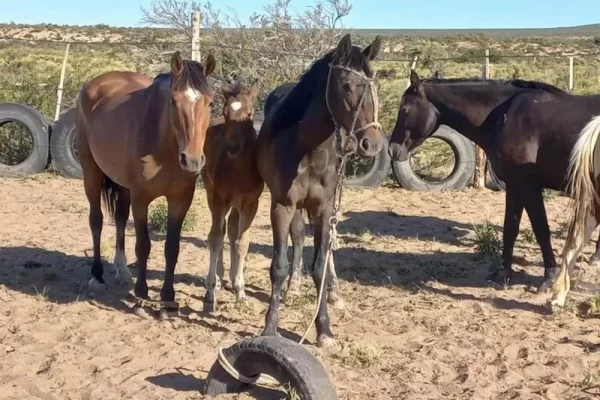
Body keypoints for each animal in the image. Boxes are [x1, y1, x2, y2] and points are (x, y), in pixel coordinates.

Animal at [74, 51, 216, 318]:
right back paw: (97, 276)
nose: (192, 160)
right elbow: (143, 246)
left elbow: (172, 248)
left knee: (119, 219)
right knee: (96, 220)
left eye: (210, 103)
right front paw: (141, 297)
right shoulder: (141, 199)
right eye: (173, 101)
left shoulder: (181, 200)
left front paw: (168, 301)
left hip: (123, 186)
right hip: (91, 172)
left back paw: (122, 270)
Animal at [200, 79, 264, 312]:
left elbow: (241, 242)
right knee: (219, 231)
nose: (233, 147)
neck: (238, 169)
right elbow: (215, 239)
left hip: (237, 205)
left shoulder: (251, 203)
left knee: (232, 229)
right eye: (226, 113)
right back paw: (219, 279)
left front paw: (241, 290)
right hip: (211, 192)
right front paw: (210, 292)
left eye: (249, 113)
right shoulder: (219, 199)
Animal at [255, 34, 382, 346]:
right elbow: (278, 266)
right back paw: (294, 285)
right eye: (346, 85)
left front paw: (324, 329)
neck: (306, 146)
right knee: (299, 237)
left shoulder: (324, 207)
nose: (371, 144)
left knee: (326, 247)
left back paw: (334, 290)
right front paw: (270, 327)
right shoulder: (282, 205)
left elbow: (320, 265)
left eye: (373, 84)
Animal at [392, 71, 600, 290]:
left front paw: (549, 276)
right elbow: (510, 228)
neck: (505, 115)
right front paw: (503, 274)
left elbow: (541, 229)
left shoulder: (528, 186)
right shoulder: (514, 185)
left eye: (404, 109)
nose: (392, 149)